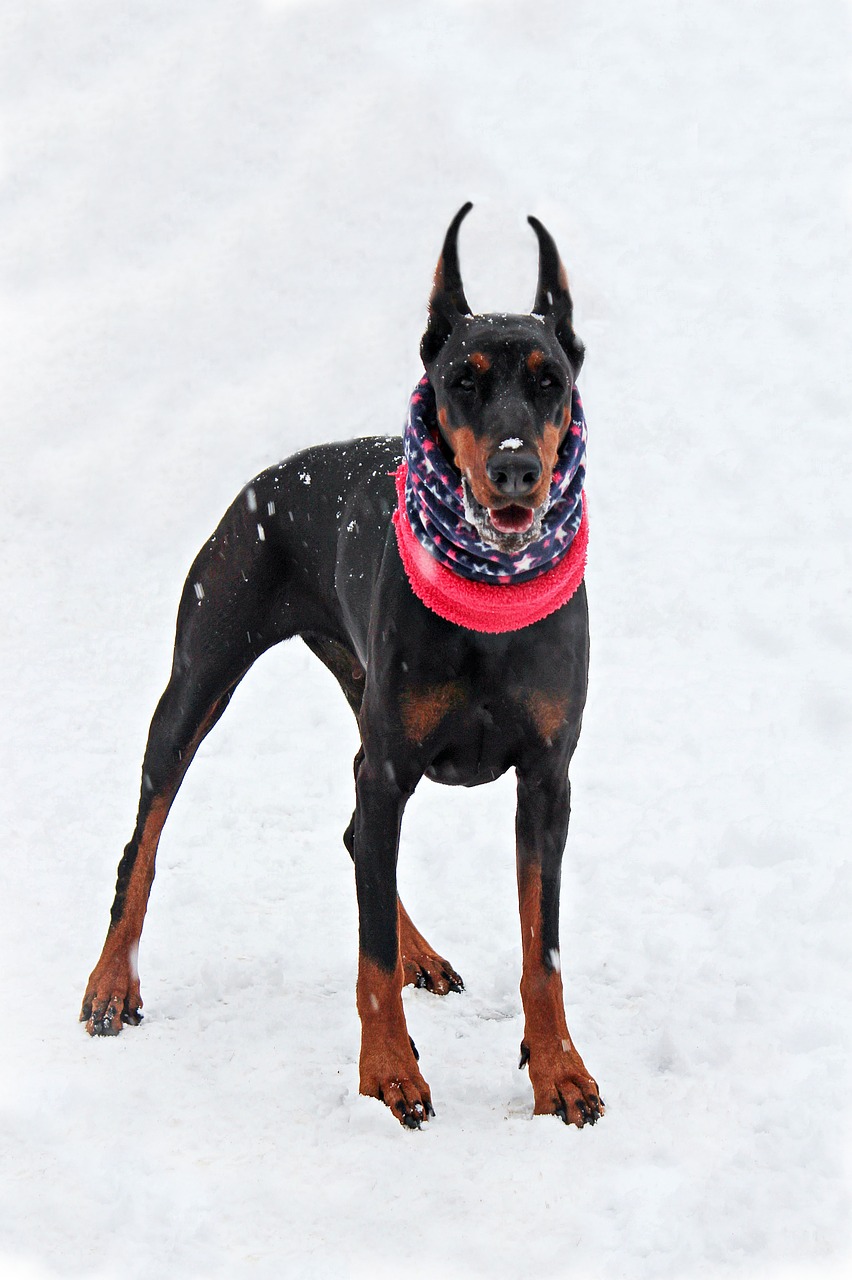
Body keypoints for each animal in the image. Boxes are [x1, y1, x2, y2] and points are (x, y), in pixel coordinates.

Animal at [76, 202, 601, 1131]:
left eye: (550, 381)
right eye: (463, 380)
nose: (515, 468)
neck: (491, 601)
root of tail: (271, 477)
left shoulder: (548, 778)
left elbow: (542, 950)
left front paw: (560, 1072)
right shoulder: (392, 764)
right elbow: (369, 952)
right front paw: (389, 1071)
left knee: (360, 838)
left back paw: (423, 955)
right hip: (201, 674)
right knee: (145, 837)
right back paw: (111, 983)